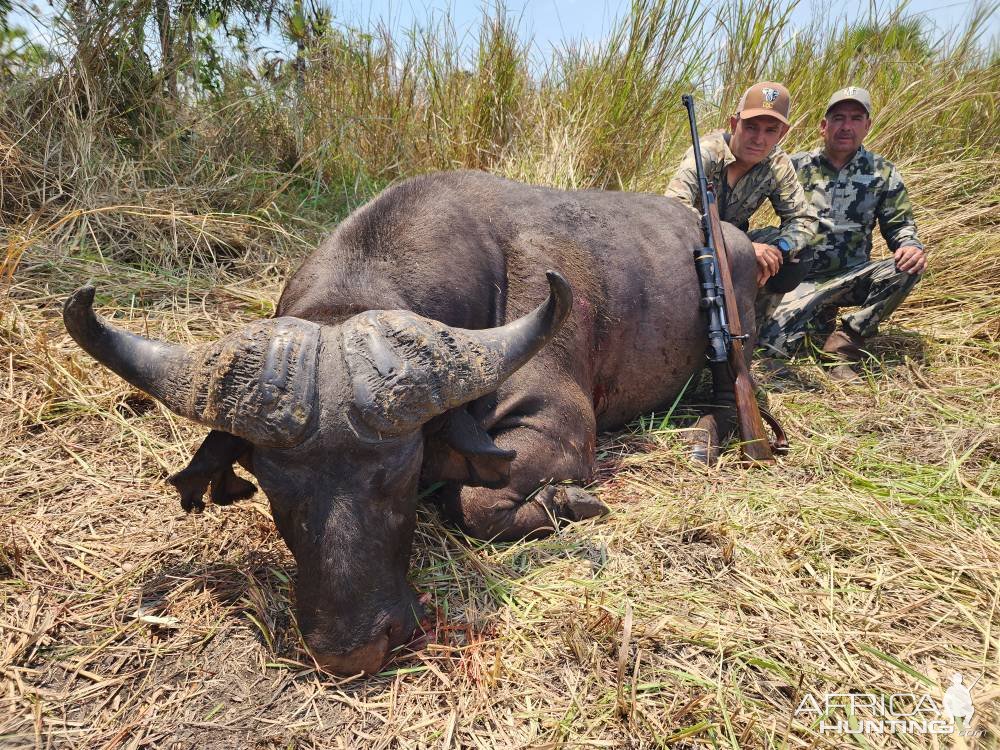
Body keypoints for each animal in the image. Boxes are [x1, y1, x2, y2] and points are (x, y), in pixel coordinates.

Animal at [62, 169, 752, 676]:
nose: (352, 650)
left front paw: (572, 503)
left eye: (399, 476)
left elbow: (472, 503)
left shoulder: (556, 427)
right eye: (274, 490)